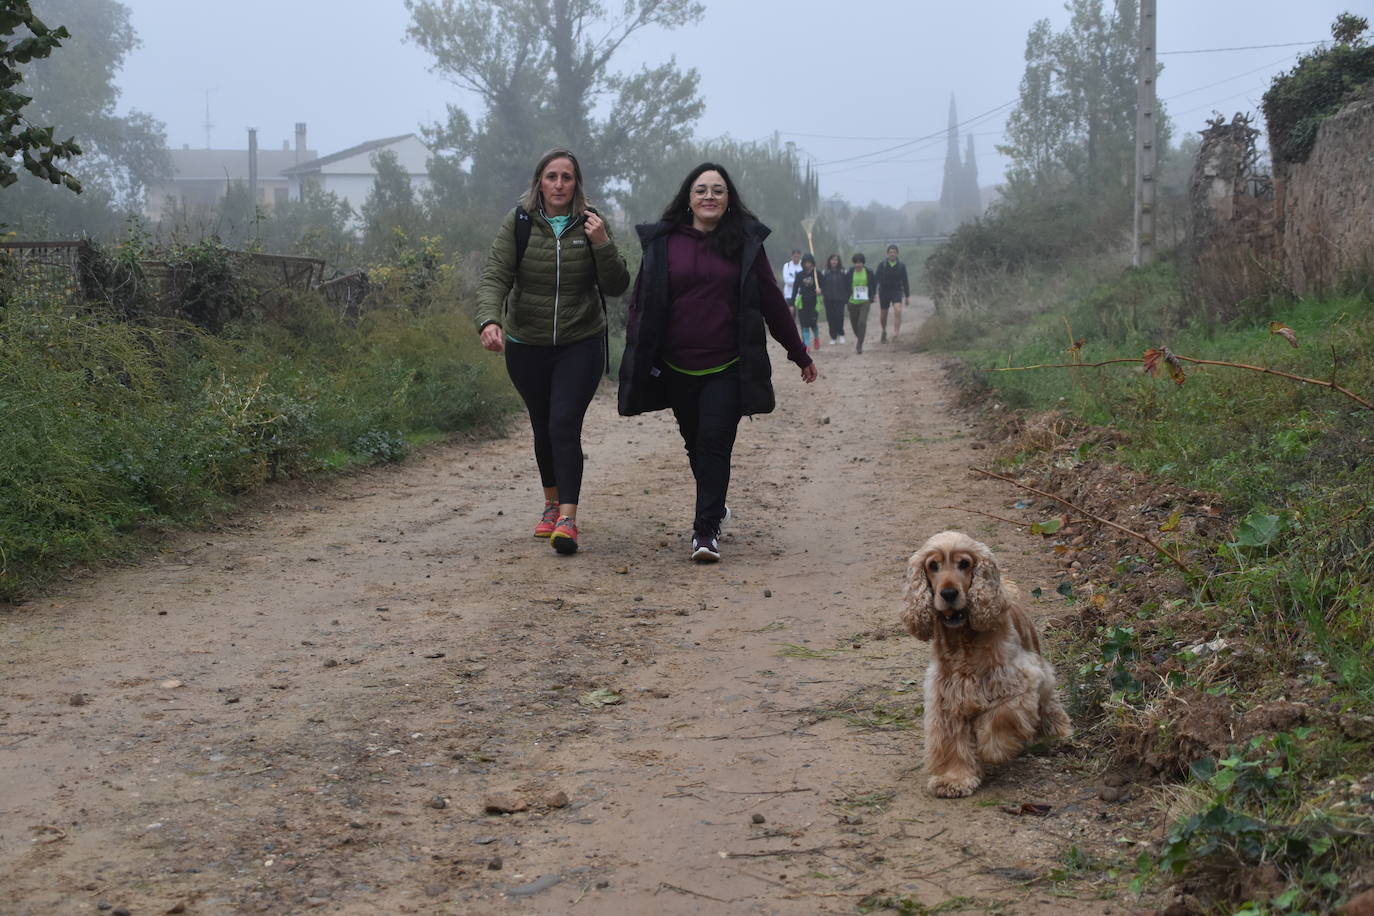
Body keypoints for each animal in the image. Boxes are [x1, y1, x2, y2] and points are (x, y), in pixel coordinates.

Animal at [901, 530, 1071, 796]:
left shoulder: (1017, 681)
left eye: (964, 564)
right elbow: (951, 741)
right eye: (933, 566)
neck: (962, 638)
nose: (948, 593)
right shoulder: (945, 697)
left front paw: (992, 750)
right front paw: (953, 779)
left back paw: (1058, 734)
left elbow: (1001, 717)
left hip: (1041, 672)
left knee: (1050, 705)